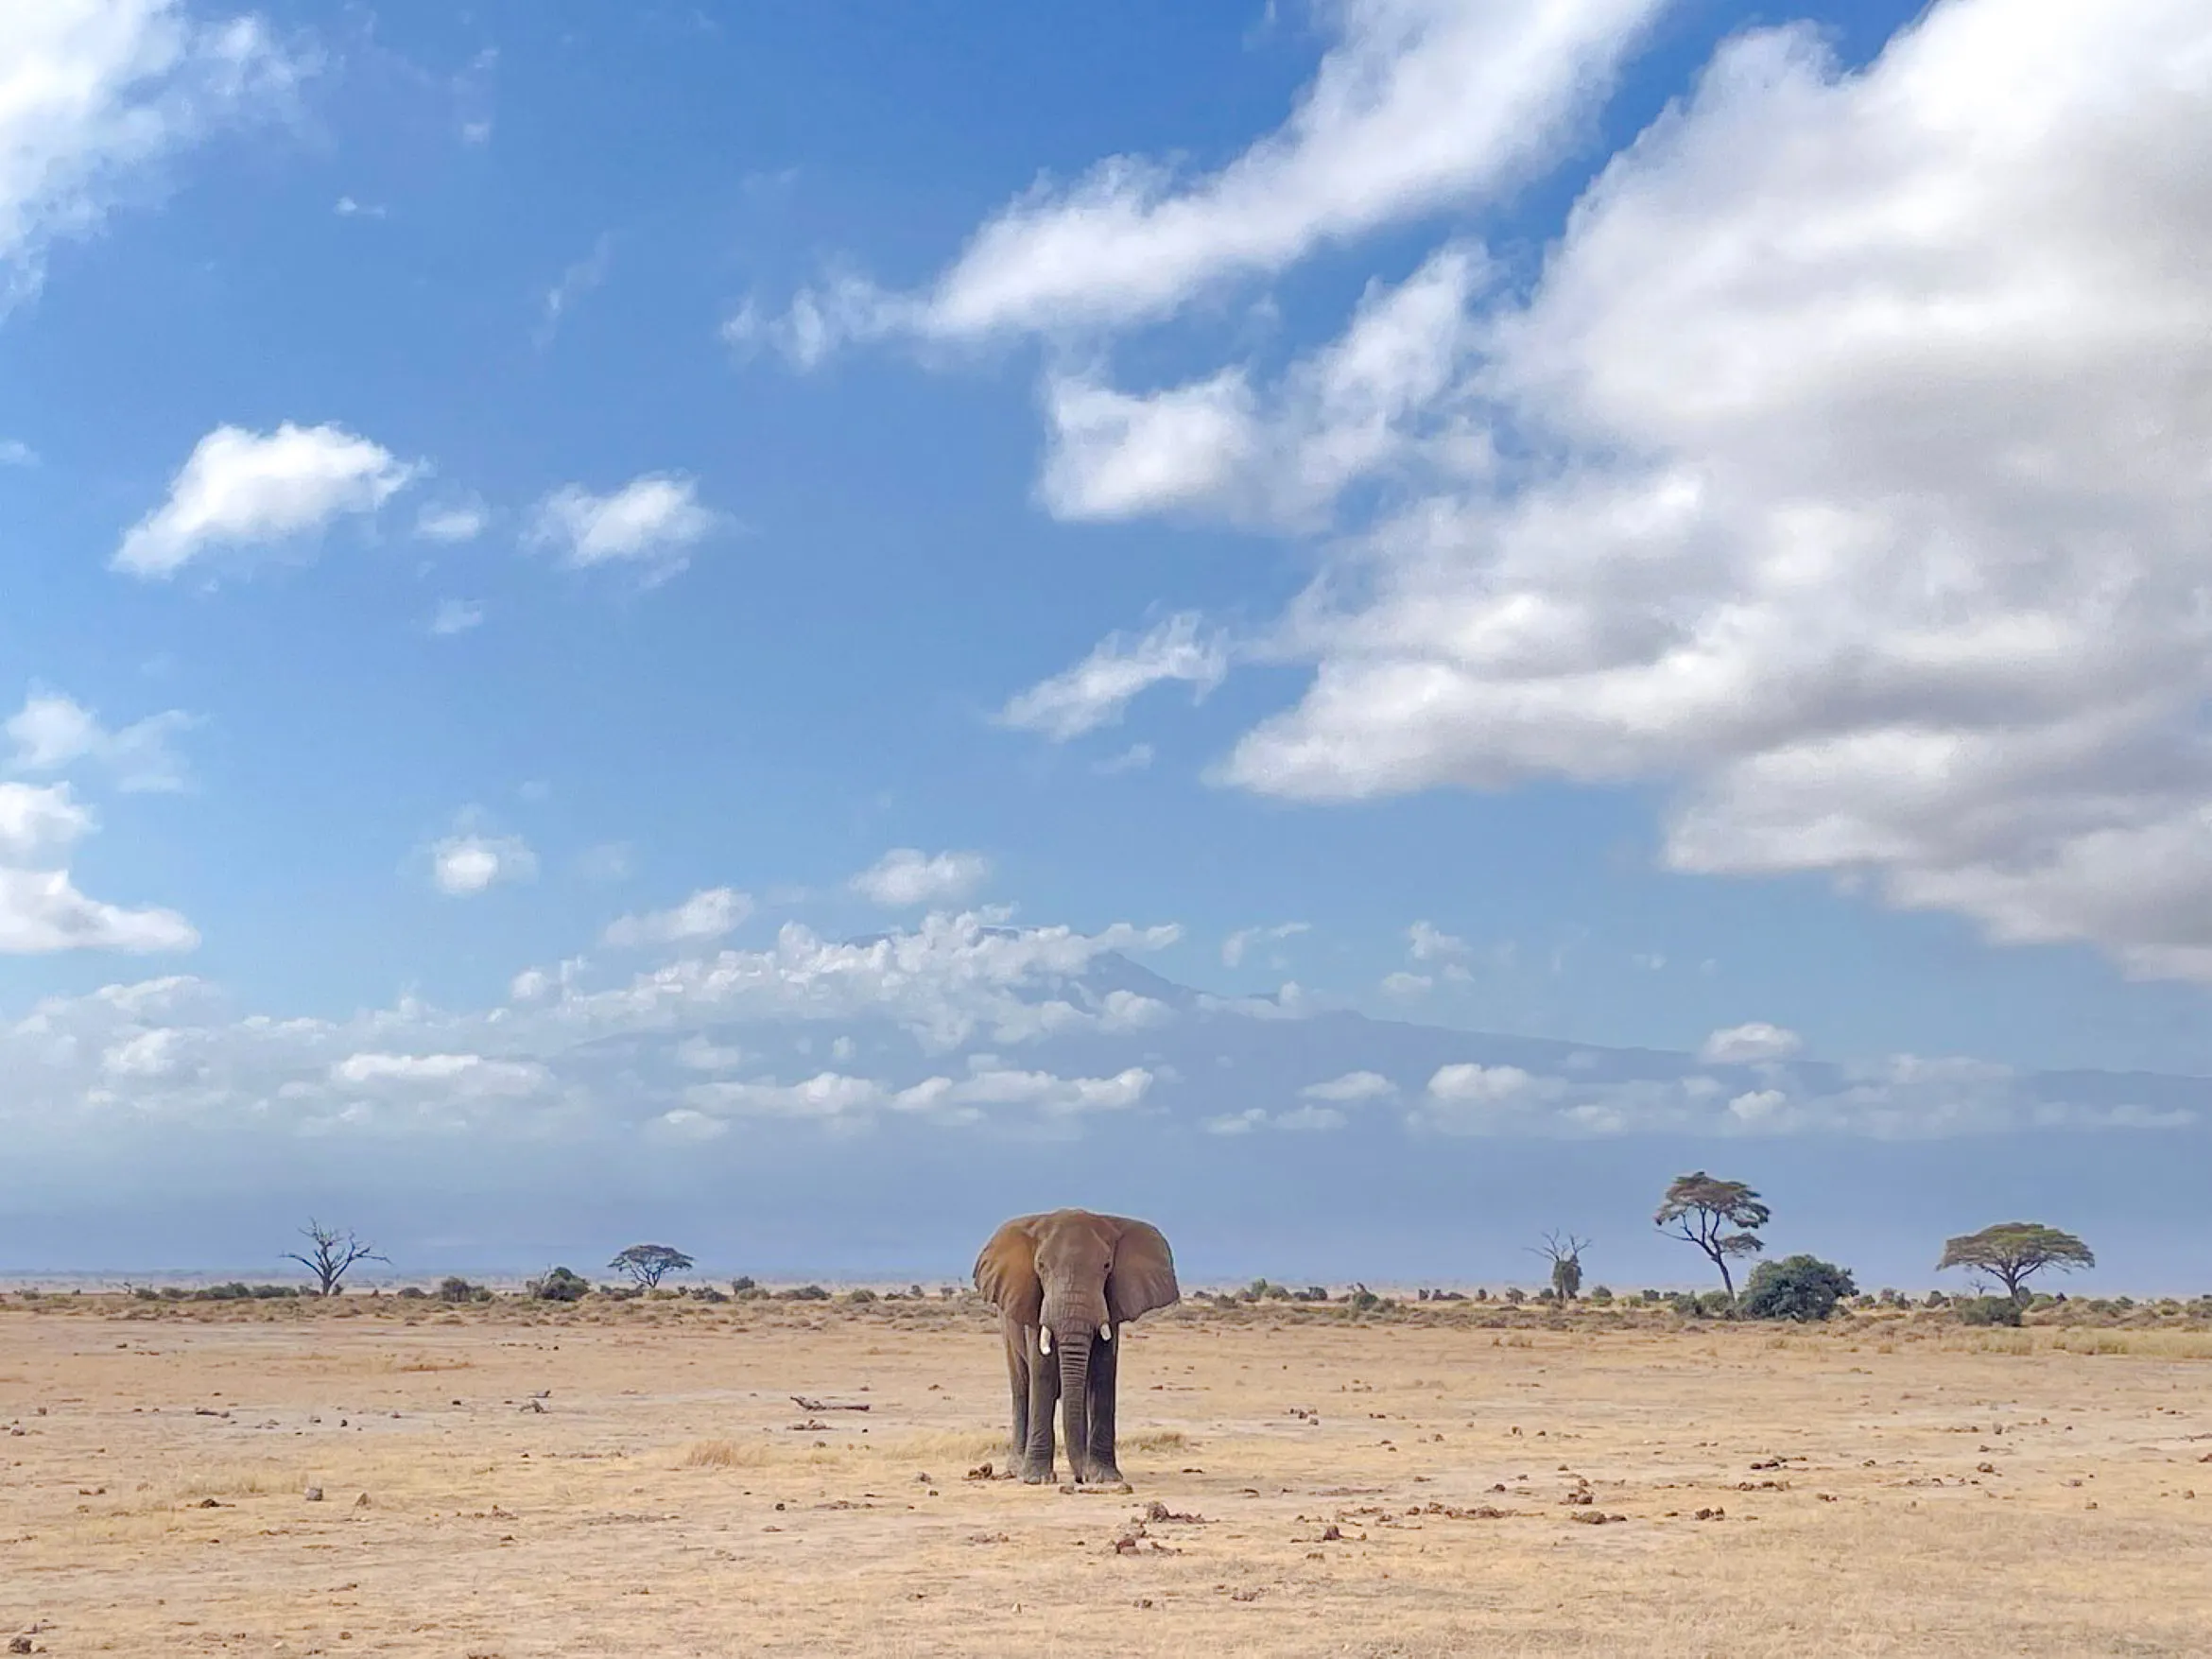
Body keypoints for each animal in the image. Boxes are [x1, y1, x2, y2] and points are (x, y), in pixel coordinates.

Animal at [972, 1209, 1179, 1485]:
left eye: (1107, 1266)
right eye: (1040, 1266)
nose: (1082, 1478)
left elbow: (1103, 1373)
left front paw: (1105, 1478)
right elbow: (1042, 1372)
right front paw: (1037, 1479)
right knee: (1022, 1386)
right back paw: (1017, 1469)